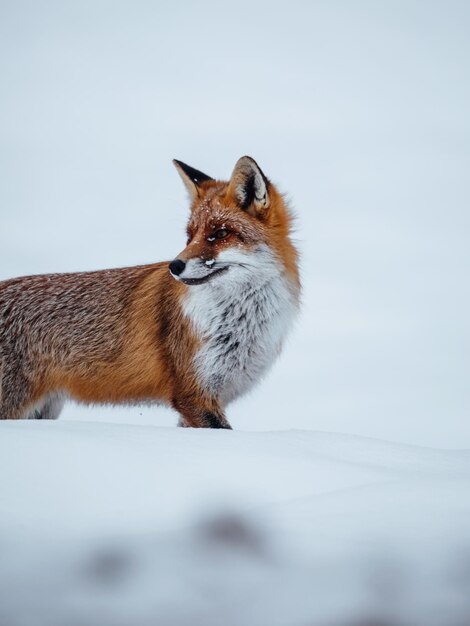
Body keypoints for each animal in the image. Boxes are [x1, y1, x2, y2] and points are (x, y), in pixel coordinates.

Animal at [0, 158, 300, 426]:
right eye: (190, 236)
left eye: (220, 233)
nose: (175, 266)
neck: (239, 321)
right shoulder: (193, 394)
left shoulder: (209, 395)